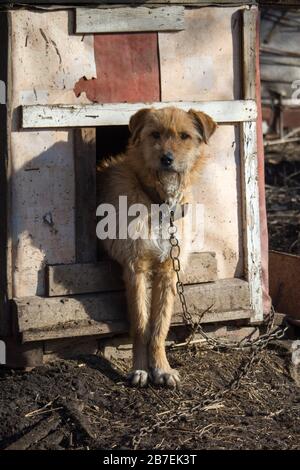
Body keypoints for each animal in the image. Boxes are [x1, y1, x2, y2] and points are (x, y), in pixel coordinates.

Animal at [97, 108, 217, 388]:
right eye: (155, 134)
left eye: (184, 136)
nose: (167, 158)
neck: (160, 204)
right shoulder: (135, 269)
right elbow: (141, 325)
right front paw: (140, 369)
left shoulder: (168, 271)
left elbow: (160, 326)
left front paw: (162, 368)